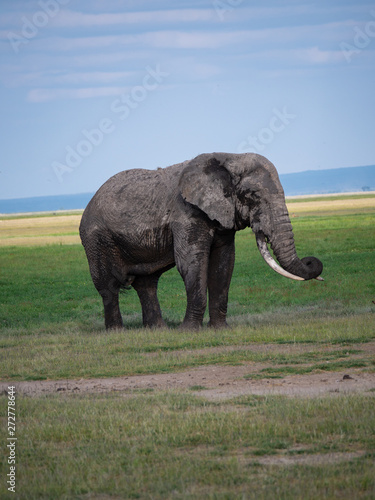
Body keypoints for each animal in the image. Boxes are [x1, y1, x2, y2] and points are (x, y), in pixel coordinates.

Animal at [79, 153, 324, 332]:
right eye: (252, 195)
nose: (311, 262)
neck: (229, 157)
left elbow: (223, 263)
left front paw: (220, 329)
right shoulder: (186, 213)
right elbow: (192, 262)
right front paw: (188, 331)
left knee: (147, 284)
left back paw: (158, 330)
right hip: (96, 238)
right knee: (108, 286)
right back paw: (116, 332)